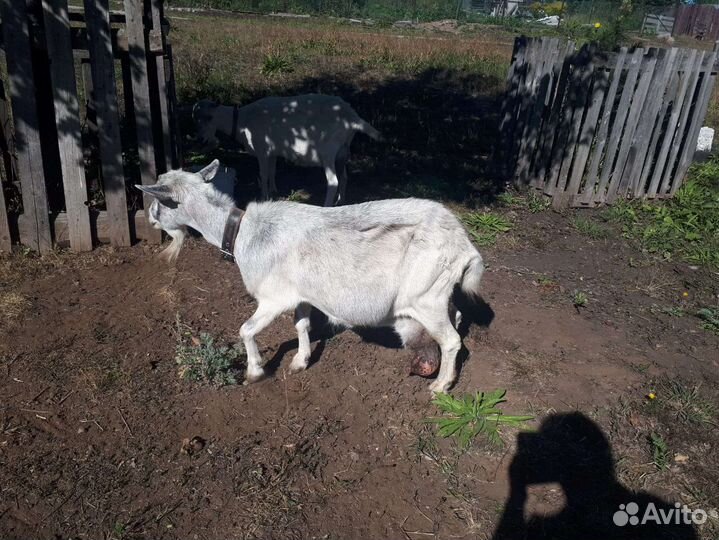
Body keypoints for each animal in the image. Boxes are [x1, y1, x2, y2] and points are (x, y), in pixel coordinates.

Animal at [137, 160, 484, 395]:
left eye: (159, 201)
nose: (151, 220)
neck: (242, 232)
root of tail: (464, 244)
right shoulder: (301, 294)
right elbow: (302, 325)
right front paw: (300, 361)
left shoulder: (273, 297)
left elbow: (246, 330)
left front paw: (255, 372)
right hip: (439, 292)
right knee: (457, 317)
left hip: (426, 297)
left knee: (451, 340)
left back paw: (440, 386)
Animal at [193, 94, 381, 206]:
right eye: (195, 118)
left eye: (209, 118)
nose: (201, 140)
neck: (242, 122)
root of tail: (353, 118)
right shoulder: (272, 152)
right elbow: (272, 172)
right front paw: (273, 191)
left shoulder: (262, 151)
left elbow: (263, 175)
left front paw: (264, 196)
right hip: (342, 152)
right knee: (344, 178)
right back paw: (340, 202)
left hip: (328, 152)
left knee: (333, 181)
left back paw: (327, 206)